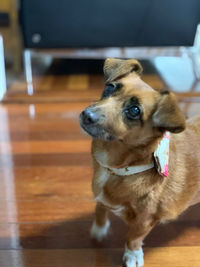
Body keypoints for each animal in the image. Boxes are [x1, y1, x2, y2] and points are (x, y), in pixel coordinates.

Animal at [79, 58, 199, 267]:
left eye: (134, 111)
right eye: (109, 88)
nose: (87, 115)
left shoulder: (146, 220)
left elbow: (133, 237)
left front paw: (133, 255)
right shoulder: (101, 199)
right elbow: (100, 209)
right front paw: (99, 229)